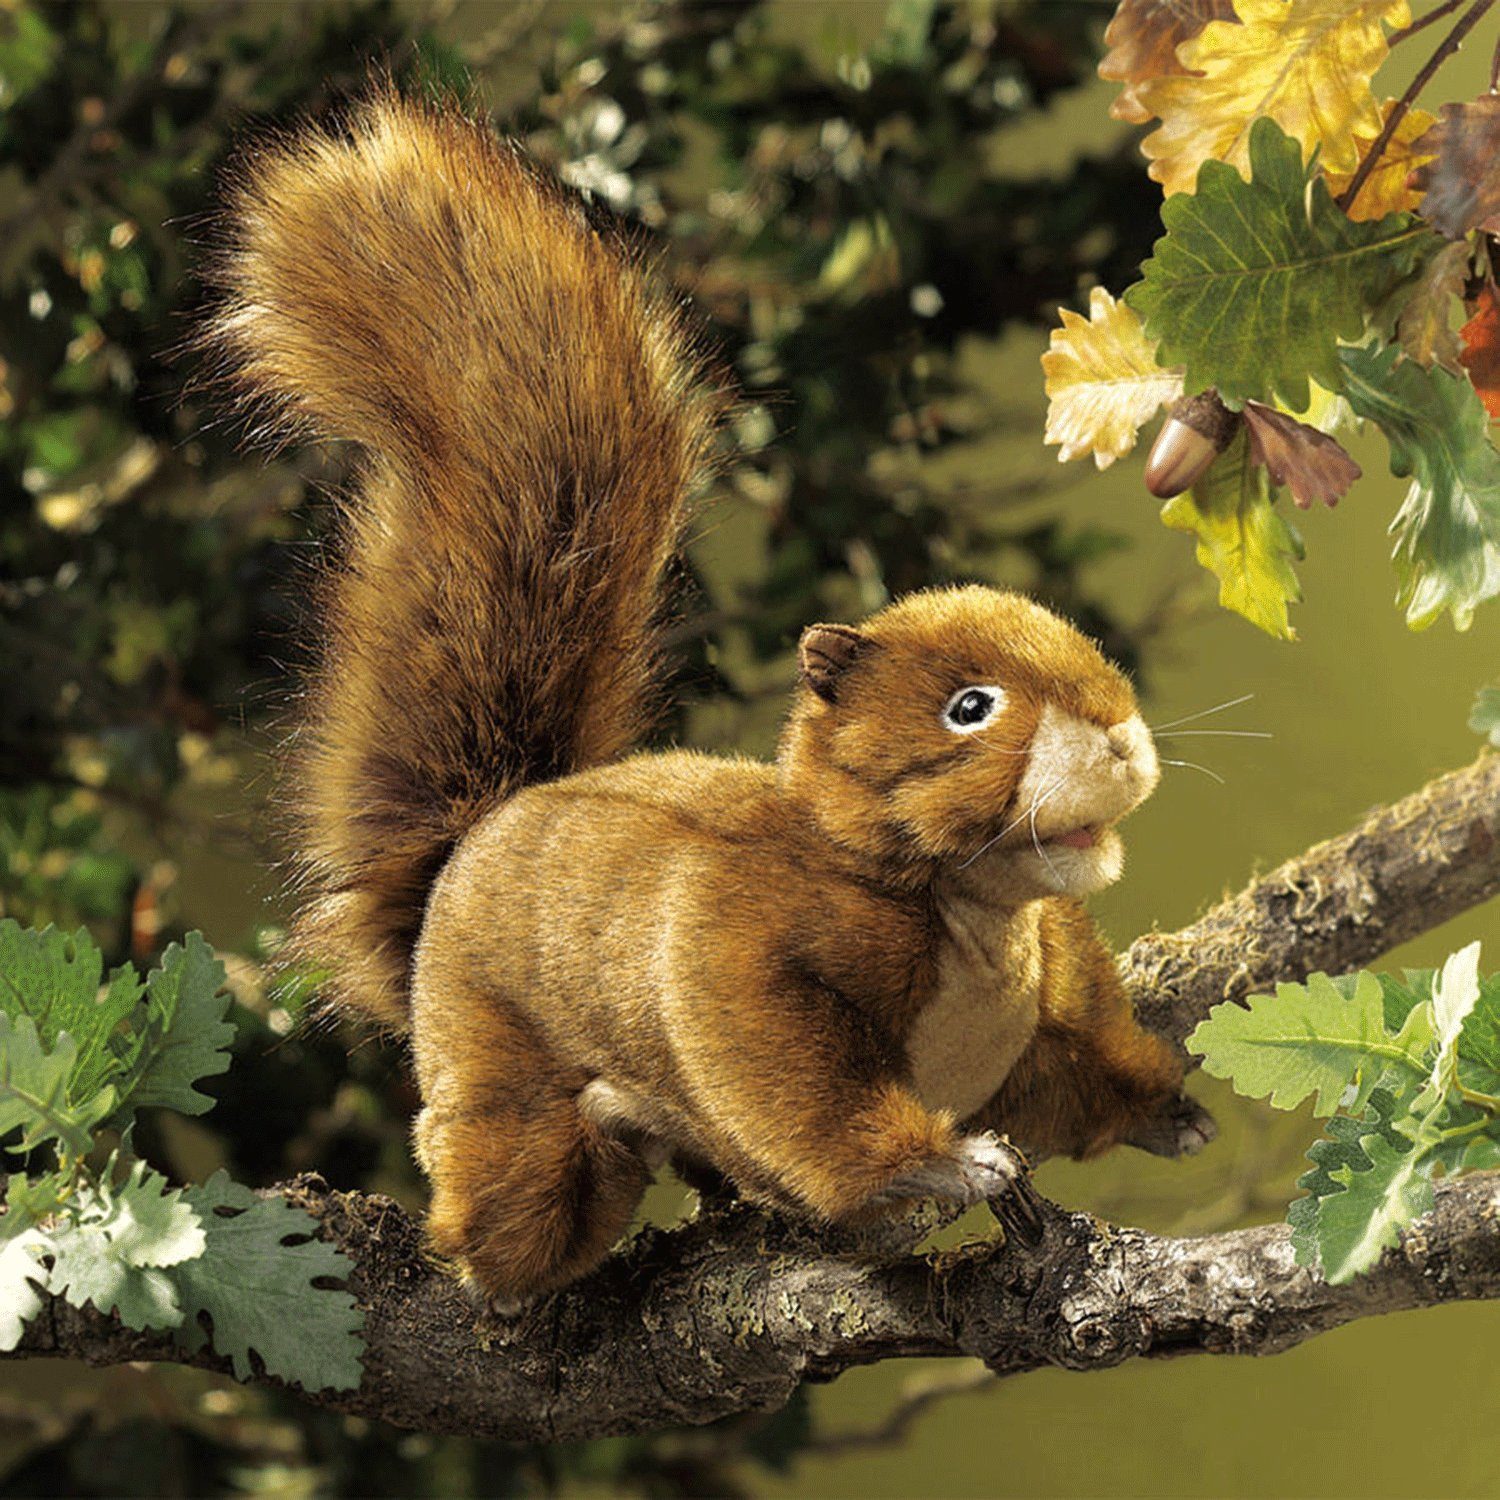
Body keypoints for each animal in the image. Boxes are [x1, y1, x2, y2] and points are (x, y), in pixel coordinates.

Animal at [207, 91, 1215, 1307]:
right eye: (968, 707)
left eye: (1083, 642)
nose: (1117, 736)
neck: (975, 917)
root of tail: (468, 842)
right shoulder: (750, 944)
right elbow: (788, 1083)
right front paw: (938, 1169)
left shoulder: (1053, 998)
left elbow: (1081, 1077)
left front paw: (1170, 1110)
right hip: (492, 1067)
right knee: (506, 1216)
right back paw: (565, 1175)